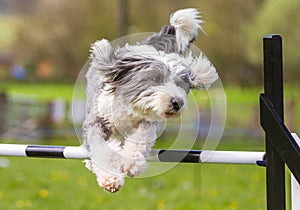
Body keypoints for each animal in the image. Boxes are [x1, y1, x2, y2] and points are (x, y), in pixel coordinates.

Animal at [82, 7, 218, 192]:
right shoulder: (98, 120)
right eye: (155, 79)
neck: (129, 110)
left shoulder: (147, 124)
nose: (177, 103)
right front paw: (110, 179)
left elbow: (141, 139)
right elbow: (100, 148)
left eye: (180, 84)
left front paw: (130, 164)